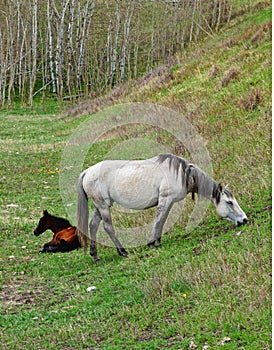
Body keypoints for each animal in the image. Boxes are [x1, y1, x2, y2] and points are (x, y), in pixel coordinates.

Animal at [77, 154, 248, 262]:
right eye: (229, 202)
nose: (245, 220)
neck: (182, 173)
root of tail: (87, 172)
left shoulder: (169, 202)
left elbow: (162, 220)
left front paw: (157, 241)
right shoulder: (165, 199)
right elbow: (159, 220)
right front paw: (152, 243)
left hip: (100, 206)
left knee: (93, 226)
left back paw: (95, 255)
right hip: (103, 206)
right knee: (108, 227)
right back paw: (122, 251)